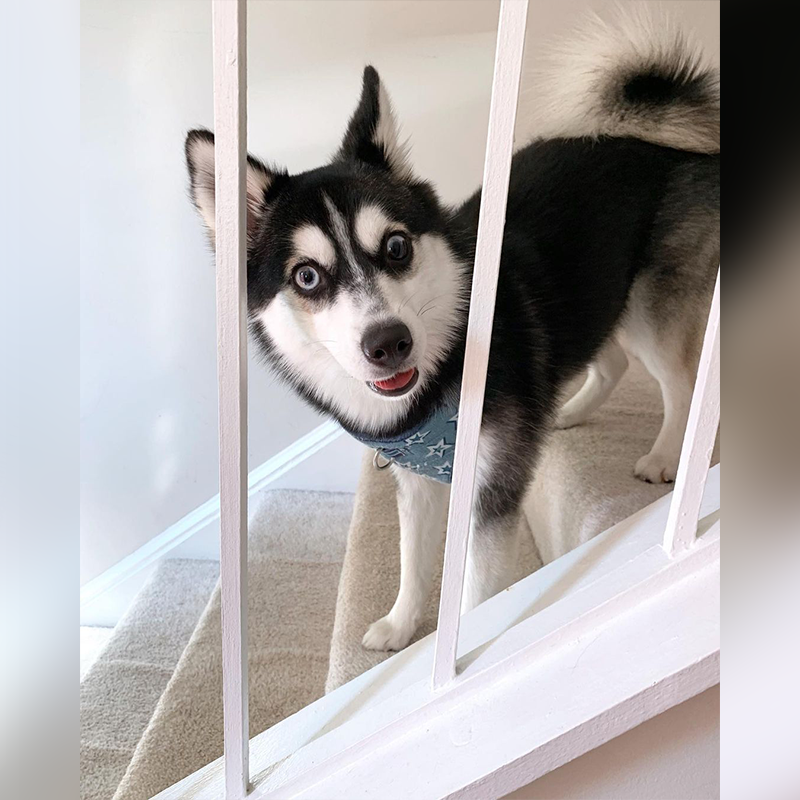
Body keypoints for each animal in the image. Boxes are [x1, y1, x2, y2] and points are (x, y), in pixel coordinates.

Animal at [186, 12, 720, 648]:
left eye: (396, 246)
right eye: (307, 276)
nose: (388, 343)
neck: (441, 381)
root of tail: (650, 139)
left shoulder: (490, 492)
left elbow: (474, 594)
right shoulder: (416, 482)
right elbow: (413, 561)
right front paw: (400, 627)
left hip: (649, 313)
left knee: (680, 384)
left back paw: (665, 456)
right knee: (609, 359)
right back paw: (566, 412)